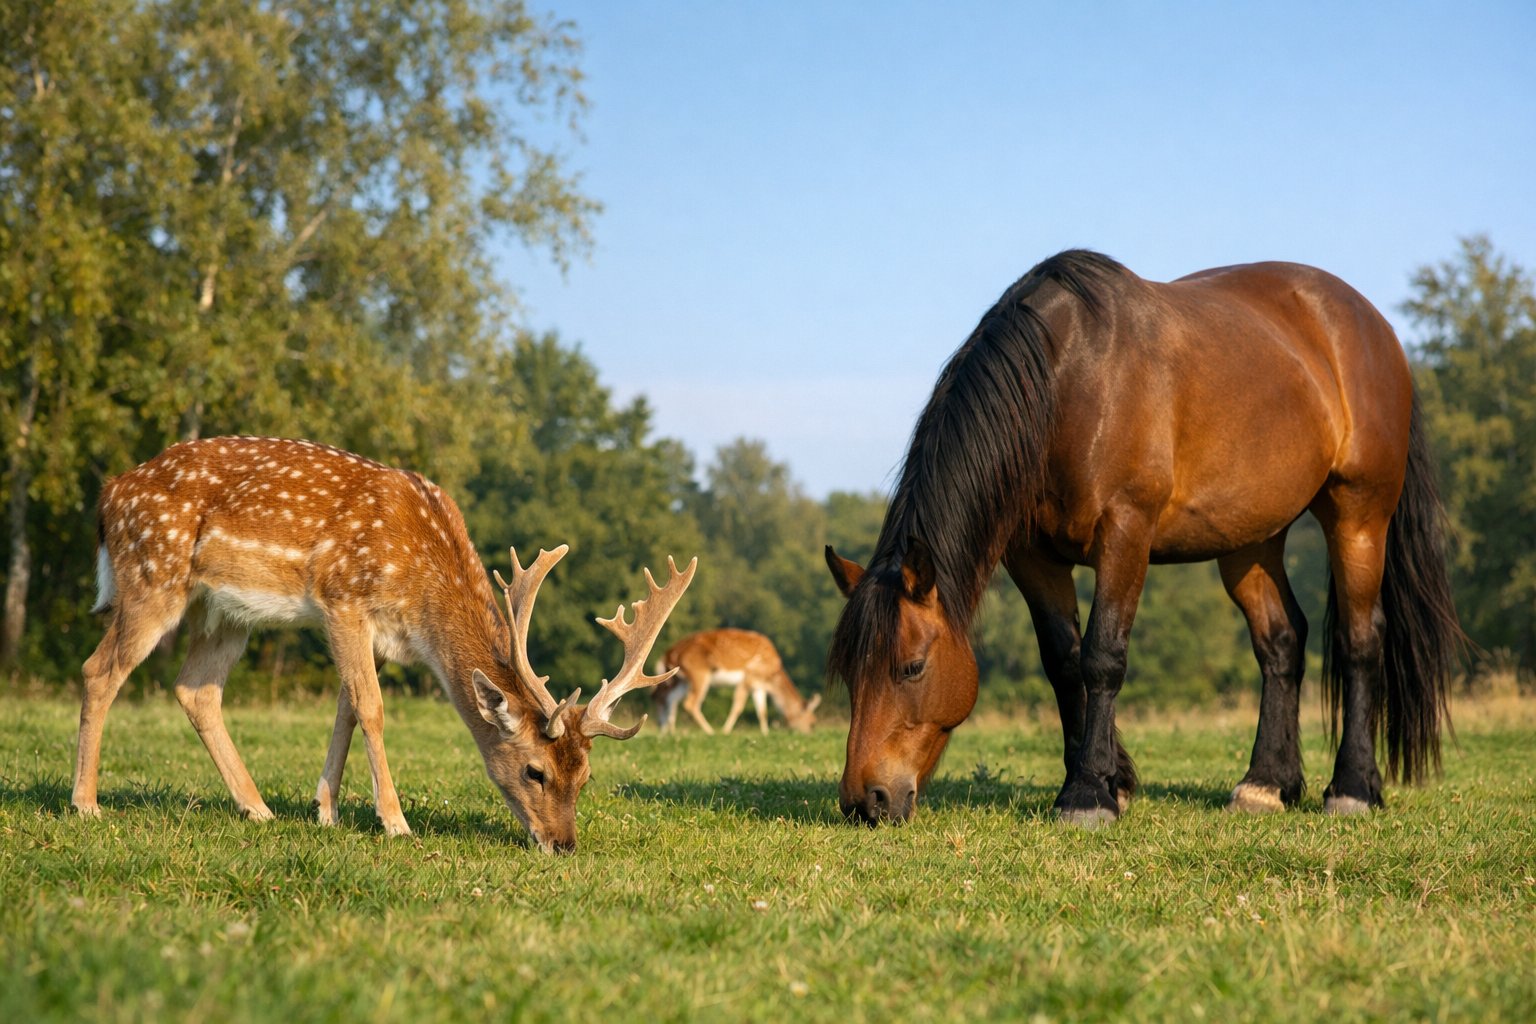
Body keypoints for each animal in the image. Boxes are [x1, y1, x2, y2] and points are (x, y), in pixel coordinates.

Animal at [72, 436, 696, 853]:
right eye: (534, 772)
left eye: (585, 777)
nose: (563, 844)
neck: (421, 593)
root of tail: (108, 497)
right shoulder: (342, 598)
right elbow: (370, 706)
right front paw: (393, 820)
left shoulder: (370, 629)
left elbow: (346, 707)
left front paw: (325, 810)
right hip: (152, 574)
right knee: (99, 669)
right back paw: (86, 804)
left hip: (228, 611)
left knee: (194, 689)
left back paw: (259, 809)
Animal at [653, 628, 821, 735]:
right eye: (812, 723)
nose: (809, 734)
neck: (771, 677)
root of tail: (667, 654)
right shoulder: (748, 677)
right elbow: (738, 706)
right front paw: (726, 730)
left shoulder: (758, 685)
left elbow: (762, 711)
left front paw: (765, 733)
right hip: (699, 673)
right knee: (689, 703)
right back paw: (709, 731)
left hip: (681, 679)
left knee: (669, 698)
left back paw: (667, 730)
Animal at [825, 250, 1461, 826]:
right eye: (850, 671)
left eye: (911, 668)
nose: (865, 801)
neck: (1068, 381)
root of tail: (1373, 325)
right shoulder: (1033, 557)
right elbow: (1064, 662)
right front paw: (1111, 779)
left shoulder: (1125, 532)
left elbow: (1103, 656)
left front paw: (1087, 796)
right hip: (1250, 539)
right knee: (1281, 641)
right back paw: (1266, 785)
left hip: (1359, 513)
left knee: (1360, 639)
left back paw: (1352, 789)